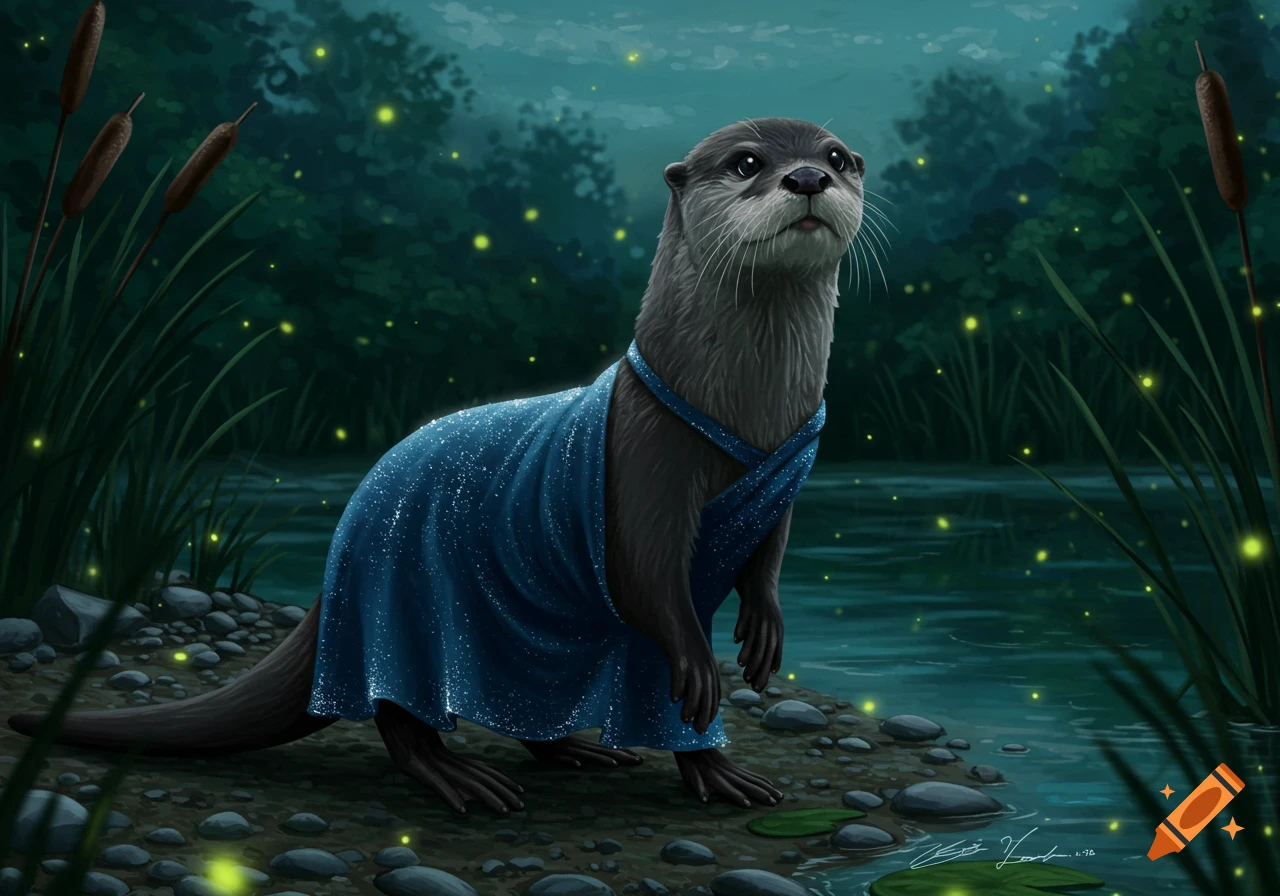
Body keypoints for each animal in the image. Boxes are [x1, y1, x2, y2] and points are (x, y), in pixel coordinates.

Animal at [9, 117, 866, 816]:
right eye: (748, 161)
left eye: (836, 155)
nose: (807, 178)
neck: (748, 418)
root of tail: (344, 537)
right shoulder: (646, 464)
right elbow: (652, 595)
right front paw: (712, 735)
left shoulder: (785, 485)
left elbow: (769, 556)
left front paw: (761, 635)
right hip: (399, 603)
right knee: (398, 713)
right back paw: (458, 775)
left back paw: (578, 751)